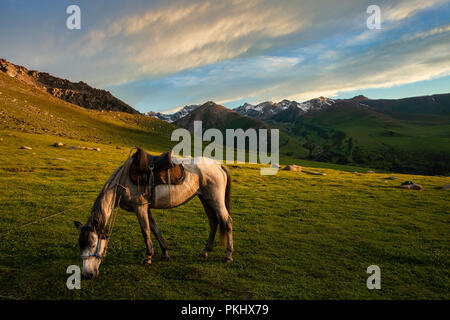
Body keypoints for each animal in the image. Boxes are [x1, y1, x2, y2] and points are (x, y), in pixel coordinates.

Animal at [72, 151, 234, 278]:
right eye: (81, 245)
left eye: (93, 245)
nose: (87, 275)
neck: (123, 179)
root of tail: (218, 165)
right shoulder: (146, 208)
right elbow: (155, 229)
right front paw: (165, 253)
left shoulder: (140, 207)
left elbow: (145, 231)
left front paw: (148, 257)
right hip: (205, 199)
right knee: (214, 222)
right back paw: (205, 251)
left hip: (215, 200)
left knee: (227, 221)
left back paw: (228, 255)